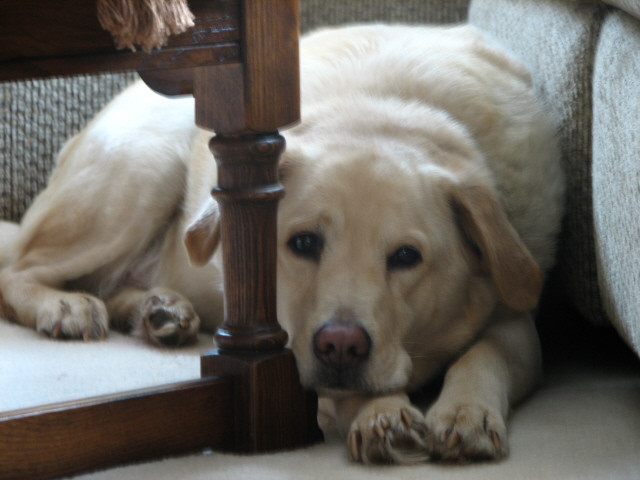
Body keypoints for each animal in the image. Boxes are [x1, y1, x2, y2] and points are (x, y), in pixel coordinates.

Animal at [0, 24, 564, 464]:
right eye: (304, 242)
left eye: (407, 257)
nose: (341, 345)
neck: (388, 112)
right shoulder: (294, 345)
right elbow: (343, 389)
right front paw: (383, 413)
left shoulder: (517, 319)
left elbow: (483, 355)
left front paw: (468, 412)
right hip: (138, 172)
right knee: (19, 271)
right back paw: (66, 306)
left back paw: (158, 311)